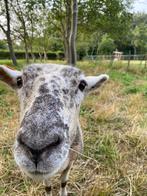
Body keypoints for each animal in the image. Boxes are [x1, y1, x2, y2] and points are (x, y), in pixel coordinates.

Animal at [0, 63, 108, 195]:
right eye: (19, 81)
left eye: (82, 85)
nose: (36, 145)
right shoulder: (46, 175)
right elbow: (48, 187)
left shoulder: (70, 163)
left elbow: (64, 182)